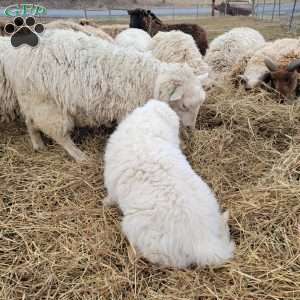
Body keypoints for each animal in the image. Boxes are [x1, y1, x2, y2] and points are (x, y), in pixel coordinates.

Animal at [4, 29, 209, 162]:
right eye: (184, 105)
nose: (190, 128)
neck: (148, 81)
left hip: (31, 101)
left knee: (30, 122)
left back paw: (38, 144)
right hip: (47, 105)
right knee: (59, 135)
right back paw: (80, 156)